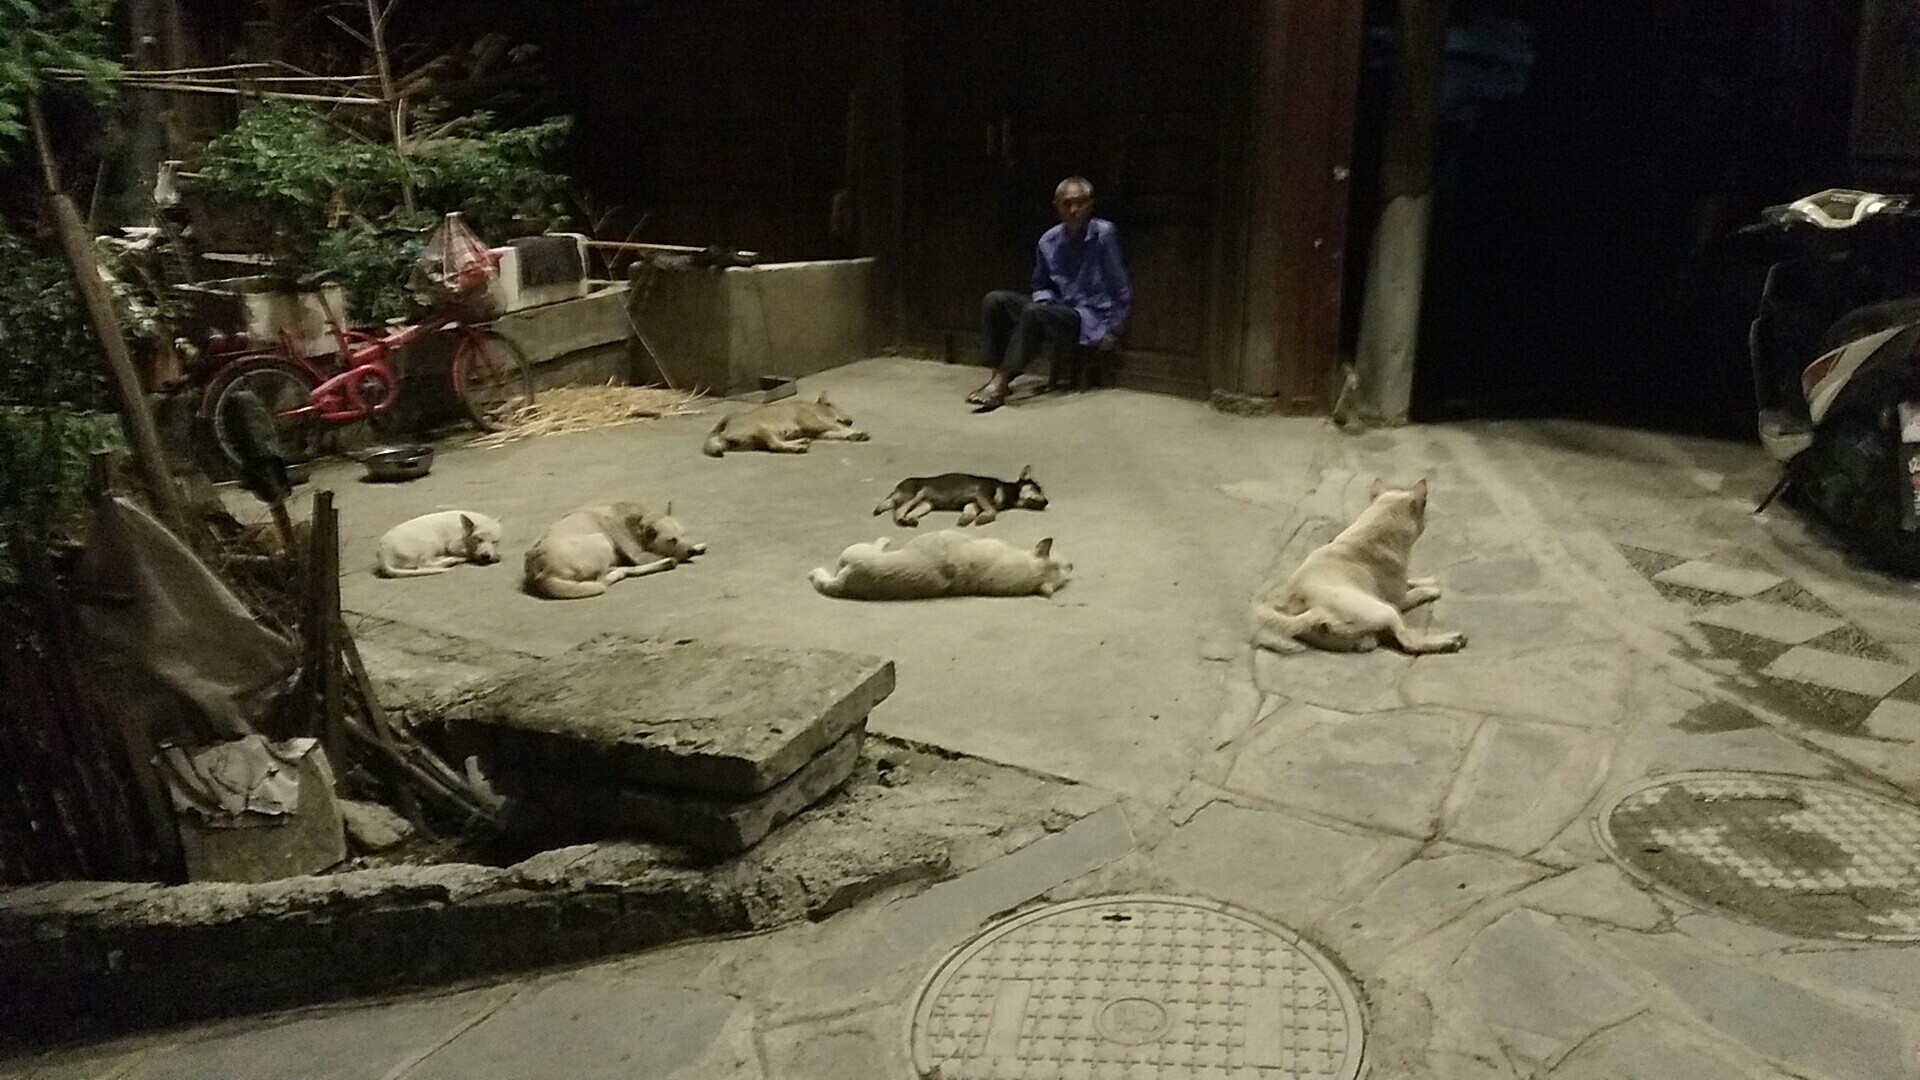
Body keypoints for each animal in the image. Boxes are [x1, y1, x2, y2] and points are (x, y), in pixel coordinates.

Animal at [375, 511, 504, 577]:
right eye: (478, 539)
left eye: (495, 542)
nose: (486, 556)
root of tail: (384, 557)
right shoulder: (453, 546)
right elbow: (470, 552)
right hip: (429, 542)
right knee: (423, 564)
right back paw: (452, 560)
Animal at [522, 501, 706, 599]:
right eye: (671, 540)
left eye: (683, 535)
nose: (690, 550)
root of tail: (540, 573)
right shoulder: (640, 555)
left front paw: (697, 546)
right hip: (601, 540)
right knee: (603, 579)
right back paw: (665, 563)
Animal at [702, 393, 869, 456]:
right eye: (833, 406)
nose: (850, 420)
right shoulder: (811, 422)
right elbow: (838, 427)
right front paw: (856, 431)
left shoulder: (817, 430)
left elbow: (836, 431)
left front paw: (855, 434)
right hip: (761, 429)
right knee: (774, 445)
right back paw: (798, 447)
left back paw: (801, 442)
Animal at [872, 466, 1048, 526]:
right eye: (1036, 489)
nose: (1047, 502)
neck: (1009, 491)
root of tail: (897, 488)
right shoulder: (982, 493)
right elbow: (992, 510)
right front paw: (983, 518)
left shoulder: (974, 503)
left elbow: (970, 511)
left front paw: (966, 519)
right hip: (916, 495)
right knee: (898, 511)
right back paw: (902, 521)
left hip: (925, 505)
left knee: (908, 513)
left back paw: (909, 521)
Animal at [1251, 478, 1465, 654]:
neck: (1376, 530)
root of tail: (1311, 610)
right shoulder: (1399, 600)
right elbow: (1415, 592)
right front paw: (1431, 589)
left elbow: (1411, 580)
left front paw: (1428, 580)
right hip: (1386, 610)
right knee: (1409, 642)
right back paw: (1448, 641)